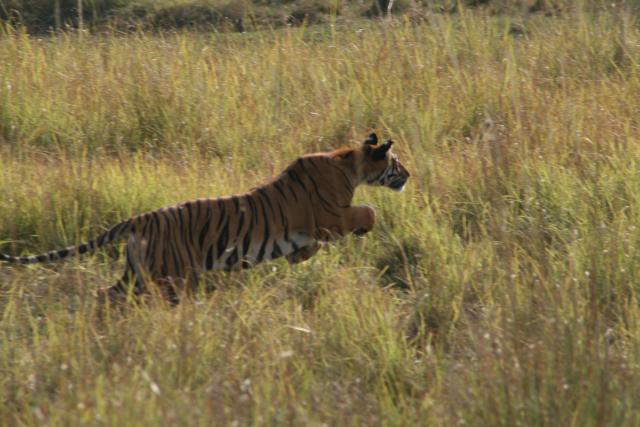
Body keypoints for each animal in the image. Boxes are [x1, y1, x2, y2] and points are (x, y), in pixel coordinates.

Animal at [0, 133, 410, 303]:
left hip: (138, 273)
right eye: (396, 161)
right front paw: (365, 229)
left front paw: (302, 255)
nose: (409, 174)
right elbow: (368, 211)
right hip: (167, 276)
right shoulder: (331, 216)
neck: (349, 164)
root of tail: (139, 219)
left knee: (106, 295)